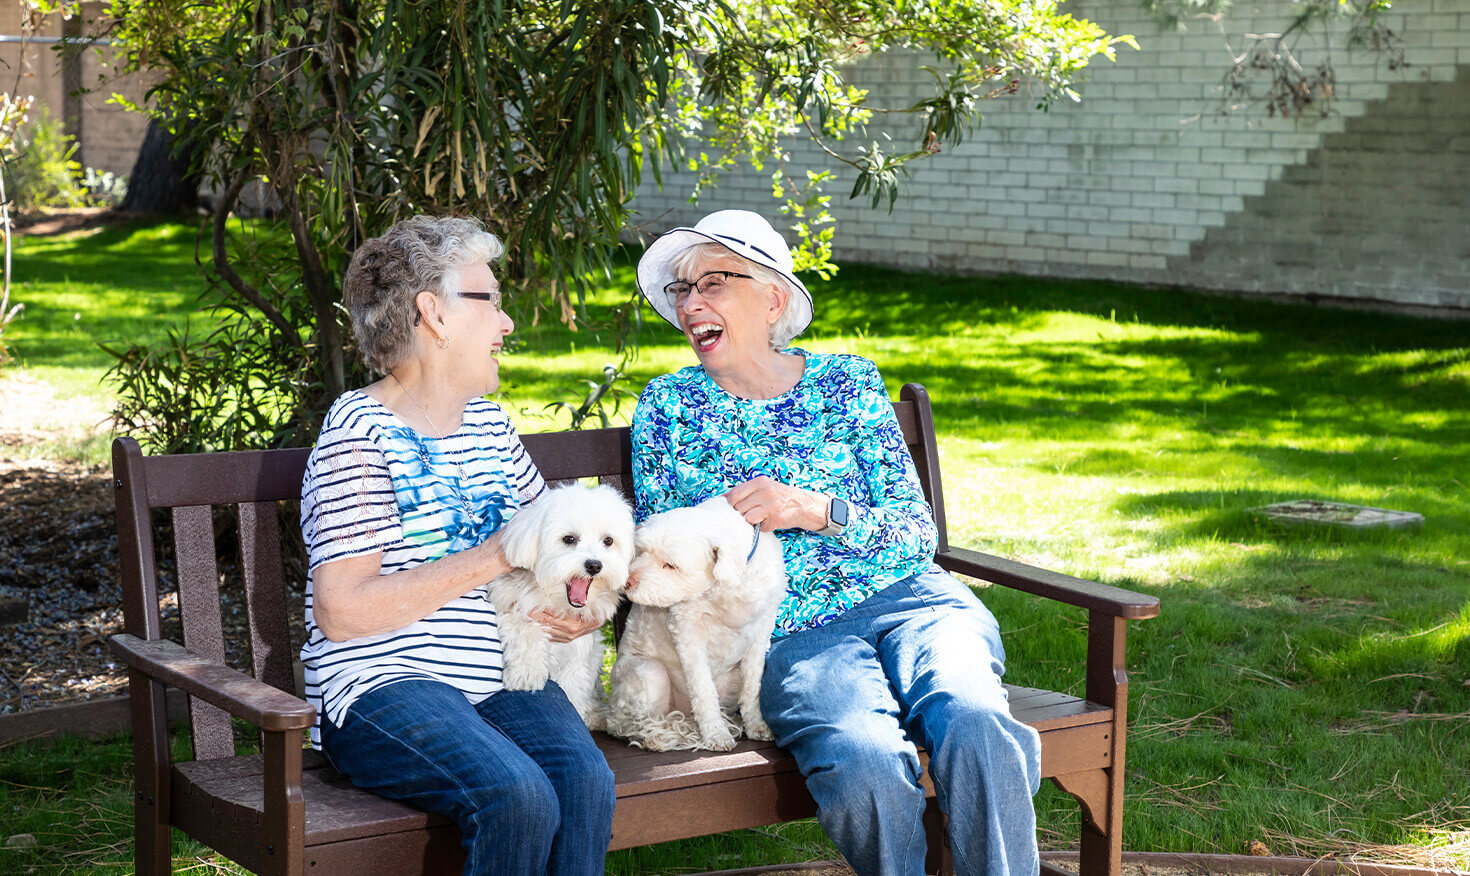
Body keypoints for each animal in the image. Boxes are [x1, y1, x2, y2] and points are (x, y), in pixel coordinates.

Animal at [488, 482, 637, 729]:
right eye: (569, 539)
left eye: (608, 541)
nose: (594, 565)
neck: (557, 601)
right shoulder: (510, 602)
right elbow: (524, 628)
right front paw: (526, 676)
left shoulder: (576, 651)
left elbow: (573, 686)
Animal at [605, 496, 793, 749]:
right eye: (642, 551)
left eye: (670, 565)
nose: (627, 582)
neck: (729, 581)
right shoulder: (687, 630)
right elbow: (703, 689)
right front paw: (716, 734)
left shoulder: (761, 629)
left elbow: (753, 685)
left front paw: (757, 725)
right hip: (649, 673)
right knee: (628, 724)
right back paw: (658, 736)